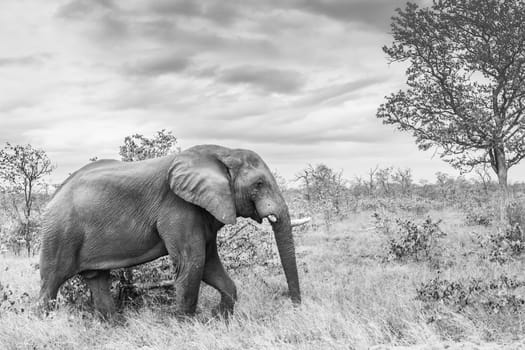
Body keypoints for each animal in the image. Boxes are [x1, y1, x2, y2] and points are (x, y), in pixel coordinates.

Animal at [39, 144, 300, 318]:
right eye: (259, 184)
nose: (295, 306)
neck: (223, 152)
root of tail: (52, 198)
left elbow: (208, 264)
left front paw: (219, 319)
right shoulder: (178, 207)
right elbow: (192, 262)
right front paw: (188, 326)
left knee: (97, 279)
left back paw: (112, 325)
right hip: (61, 231)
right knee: (51, 281)